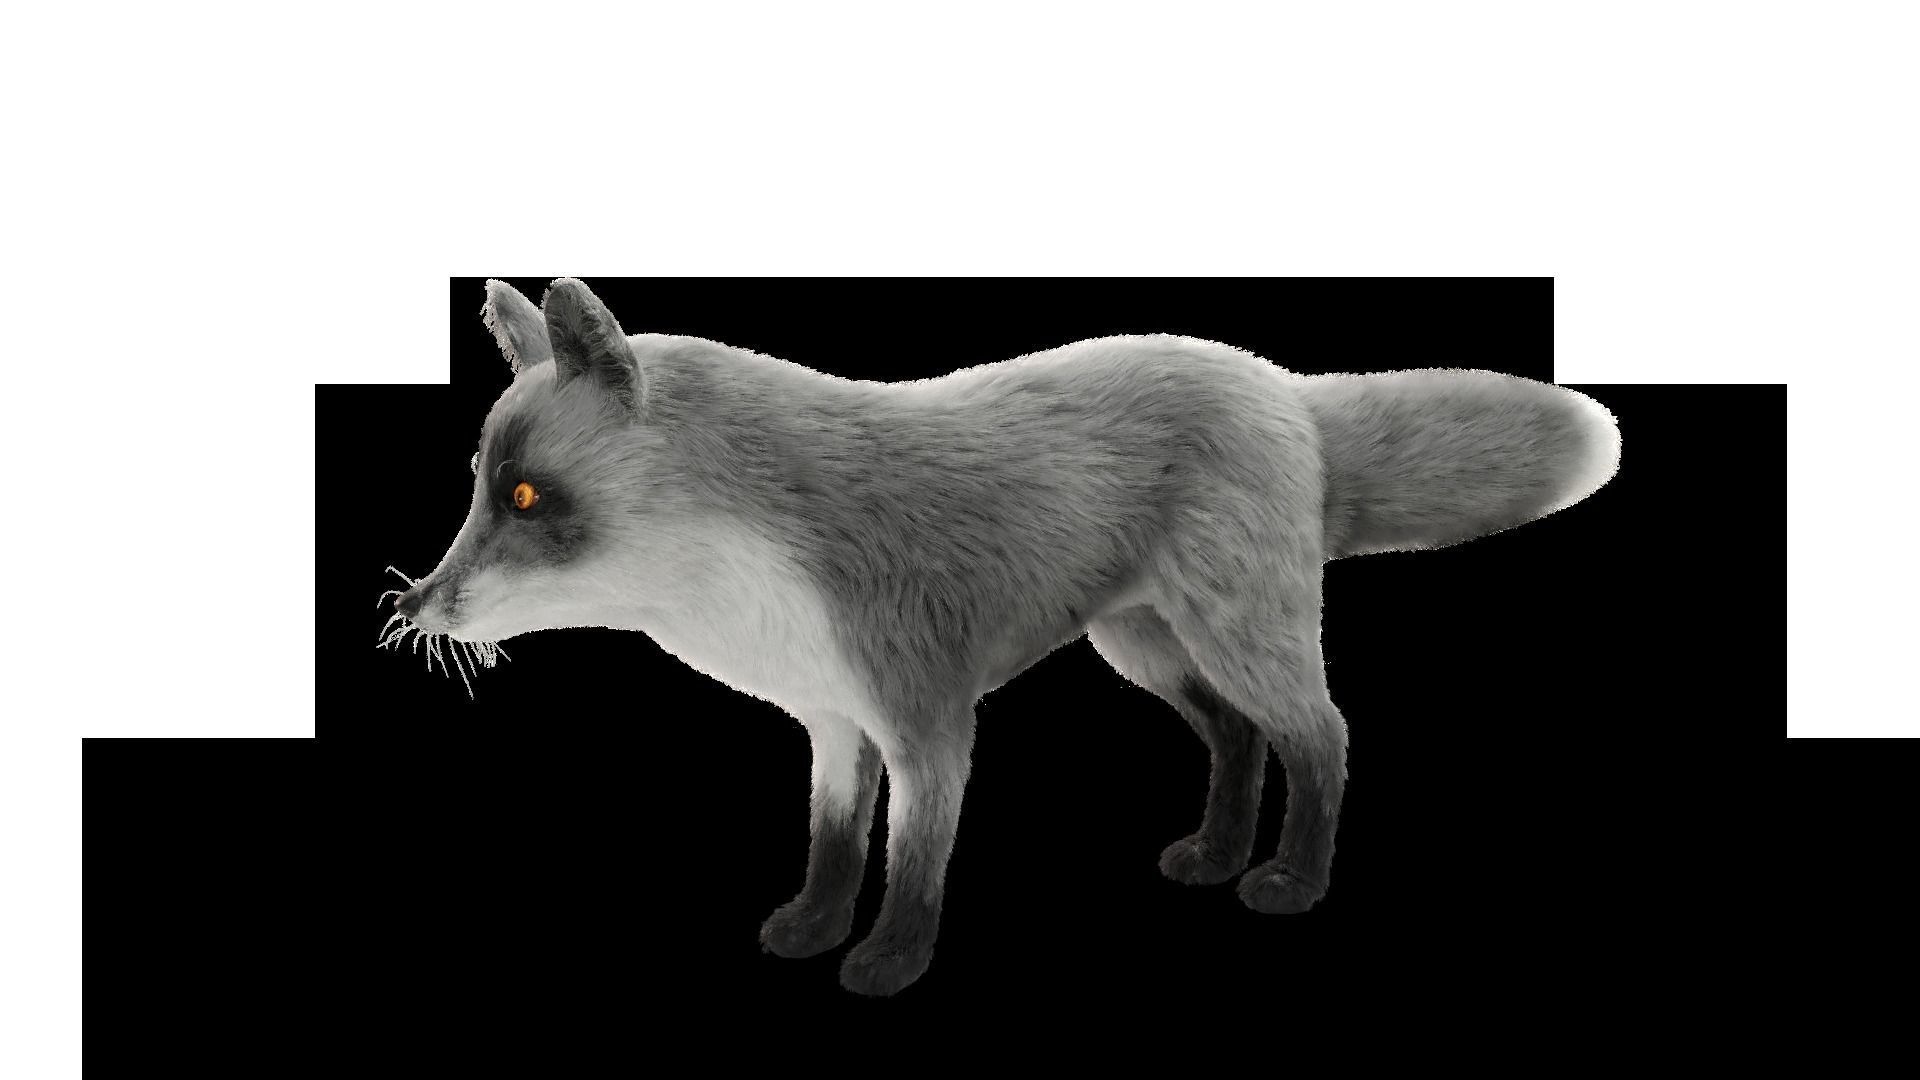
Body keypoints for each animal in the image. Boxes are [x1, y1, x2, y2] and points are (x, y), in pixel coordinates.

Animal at [383, 277, 1621, 996]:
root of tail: (1280, 387)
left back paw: (1289, 881)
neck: (749, 573)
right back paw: (1215, 854)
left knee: (1325, 736)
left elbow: (914, 862)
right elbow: (835, 845)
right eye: (479, 485)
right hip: (1147, 649)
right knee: (1236, 738)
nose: (410, 604)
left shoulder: (929, 720)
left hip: (1237, 634)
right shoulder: (834, 722)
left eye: (528, 498)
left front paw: (889, 959)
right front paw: (813, 929)